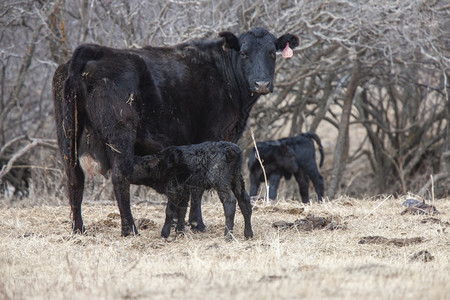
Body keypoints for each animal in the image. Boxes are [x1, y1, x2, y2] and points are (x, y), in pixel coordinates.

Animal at [52, 27, 298, 237]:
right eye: (244, 53)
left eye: (272, 53)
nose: (262, 84)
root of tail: (95, 51)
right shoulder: (211, 137)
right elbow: (198, 189)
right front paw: (197, 223)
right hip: (119, 133)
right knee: (120, 176)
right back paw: (130, 229)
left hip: (68, 134)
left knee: (74, 180)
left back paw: (78, 230)